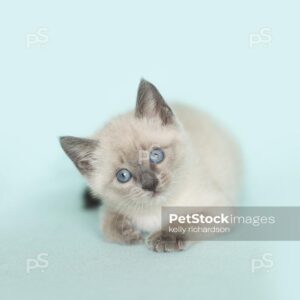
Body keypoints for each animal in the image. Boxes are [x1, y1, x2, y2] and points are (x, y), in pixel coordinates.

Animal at [59, 79, 241, 251]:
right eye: (123, 176)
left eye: (156, 155)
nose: (150, 184)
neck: (157, 209)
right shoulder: (110, 206)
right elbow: (108, 224)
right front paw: (129, 233)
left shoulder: (219, 207)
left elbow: (187, 220)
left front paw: (164, 237)